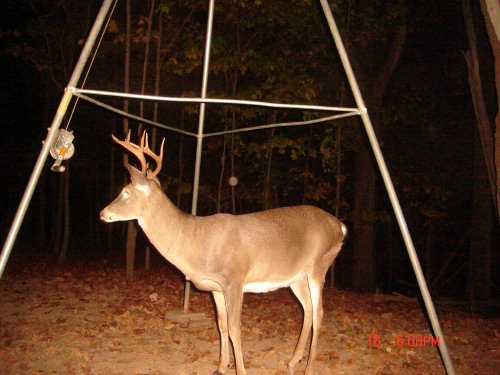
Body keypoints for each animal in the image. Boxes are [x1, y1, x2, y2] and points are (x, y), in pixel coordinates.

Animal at [99, 131, 346, 374]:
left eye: (125, 192)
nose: (102, 213)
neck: (196, 242)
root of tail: (340, 227)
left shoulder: (234, 279)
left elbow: (235, 328)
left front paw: (240, 370)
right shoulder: (215, 287)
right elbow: (222, 324)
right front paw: (221, 366)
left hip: (319, 265)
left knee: (319, 312)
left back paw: (309, 367)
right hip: (295, 277)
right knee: (307, 309)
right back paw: (293, 361)